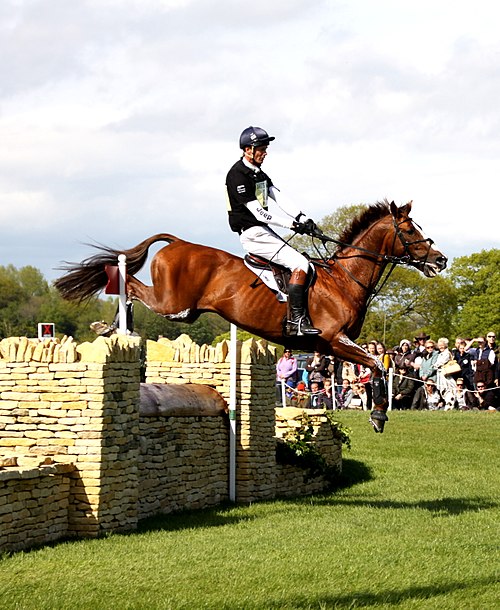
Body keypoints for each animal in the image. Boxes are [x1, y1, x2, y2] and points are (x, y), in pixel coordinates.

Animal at [54, 202, 446, 430]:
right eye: (409, 230)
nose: (440, 260)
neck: (343, 279)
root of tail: (178, 242)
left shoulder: (332, 347)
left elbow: (372, 368)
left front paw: (377, 410)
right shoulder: (335, 339)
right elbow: (378, 364)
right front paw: (379, 414)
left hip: (185, 311)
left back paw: (113, 328)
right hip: (175, 305)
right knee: (128, 282)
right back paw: (111, 326)